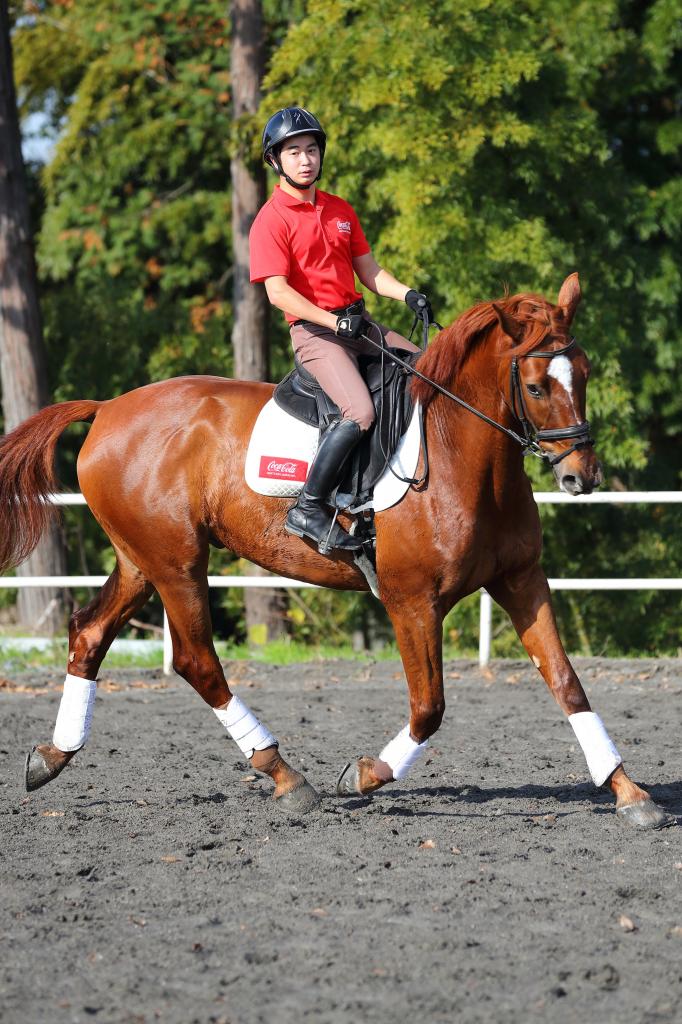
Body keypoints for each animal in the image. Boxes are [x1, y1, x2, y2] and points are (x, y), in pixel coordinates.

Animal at [0, 276, 667, 827]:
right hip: (176, 564)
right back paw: (285, 776)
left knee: (89, 634)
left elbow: (568, 684)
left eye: (583, 374)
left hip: (141, 559)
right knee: (196, 661)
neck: (461, 452)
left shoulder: (522, 580)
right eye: (534, 386)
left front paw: (630, 794)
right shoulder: (410, 601)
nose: (583, 476)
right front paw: (366, 775)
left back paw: (53, 756)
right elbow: (430, 707)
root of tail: (108, 408)